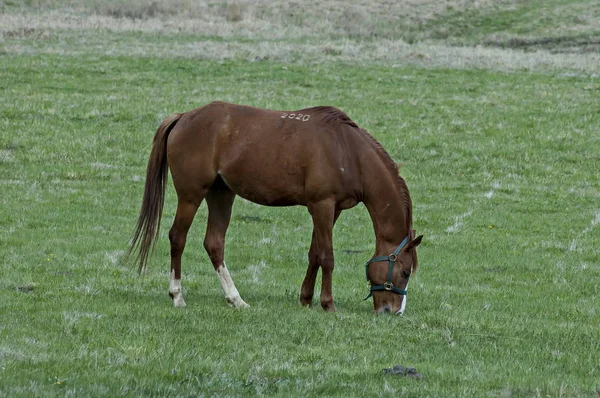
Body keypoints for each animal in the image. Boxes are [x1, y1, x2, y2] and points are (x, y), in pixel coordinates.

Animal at [129, 102, 424, 314]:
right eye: (404, 272)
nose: (394, 311)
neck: (348, 151)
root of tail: (184, 117)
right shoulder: (323, 205)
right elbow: (327, 256)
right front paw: (327, 303)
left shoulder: (330, 209)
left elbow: (314, 253)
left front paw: (306, 299)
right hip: (191, 195)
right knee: (177, 238)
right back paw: (177, 296)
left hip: (221, 194)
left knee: (214, 243)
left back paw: (236, 299)